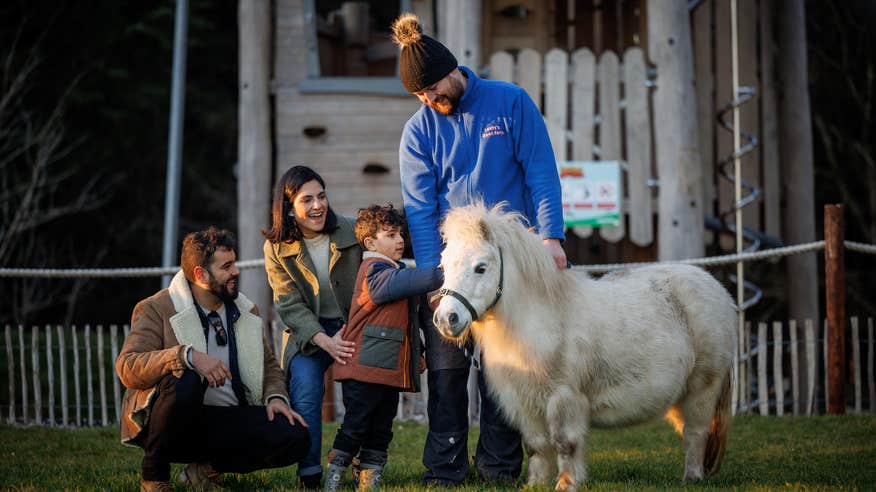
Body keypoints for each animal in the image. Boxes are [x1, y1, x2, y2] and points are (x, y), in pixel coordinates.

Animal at [432, 204, 737, 490]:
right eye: (443, 267)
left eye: (480, 268)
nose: (446, 319)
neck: (540, 320)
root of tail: (718, 290)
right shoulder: (524, 403)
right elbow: (535, 446)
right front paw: (535, 484)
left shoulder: (564, 399)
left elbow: (565, 444)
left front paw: (567, 483)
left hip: (702, 389)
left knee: (696, 433)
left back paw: (692, 478)